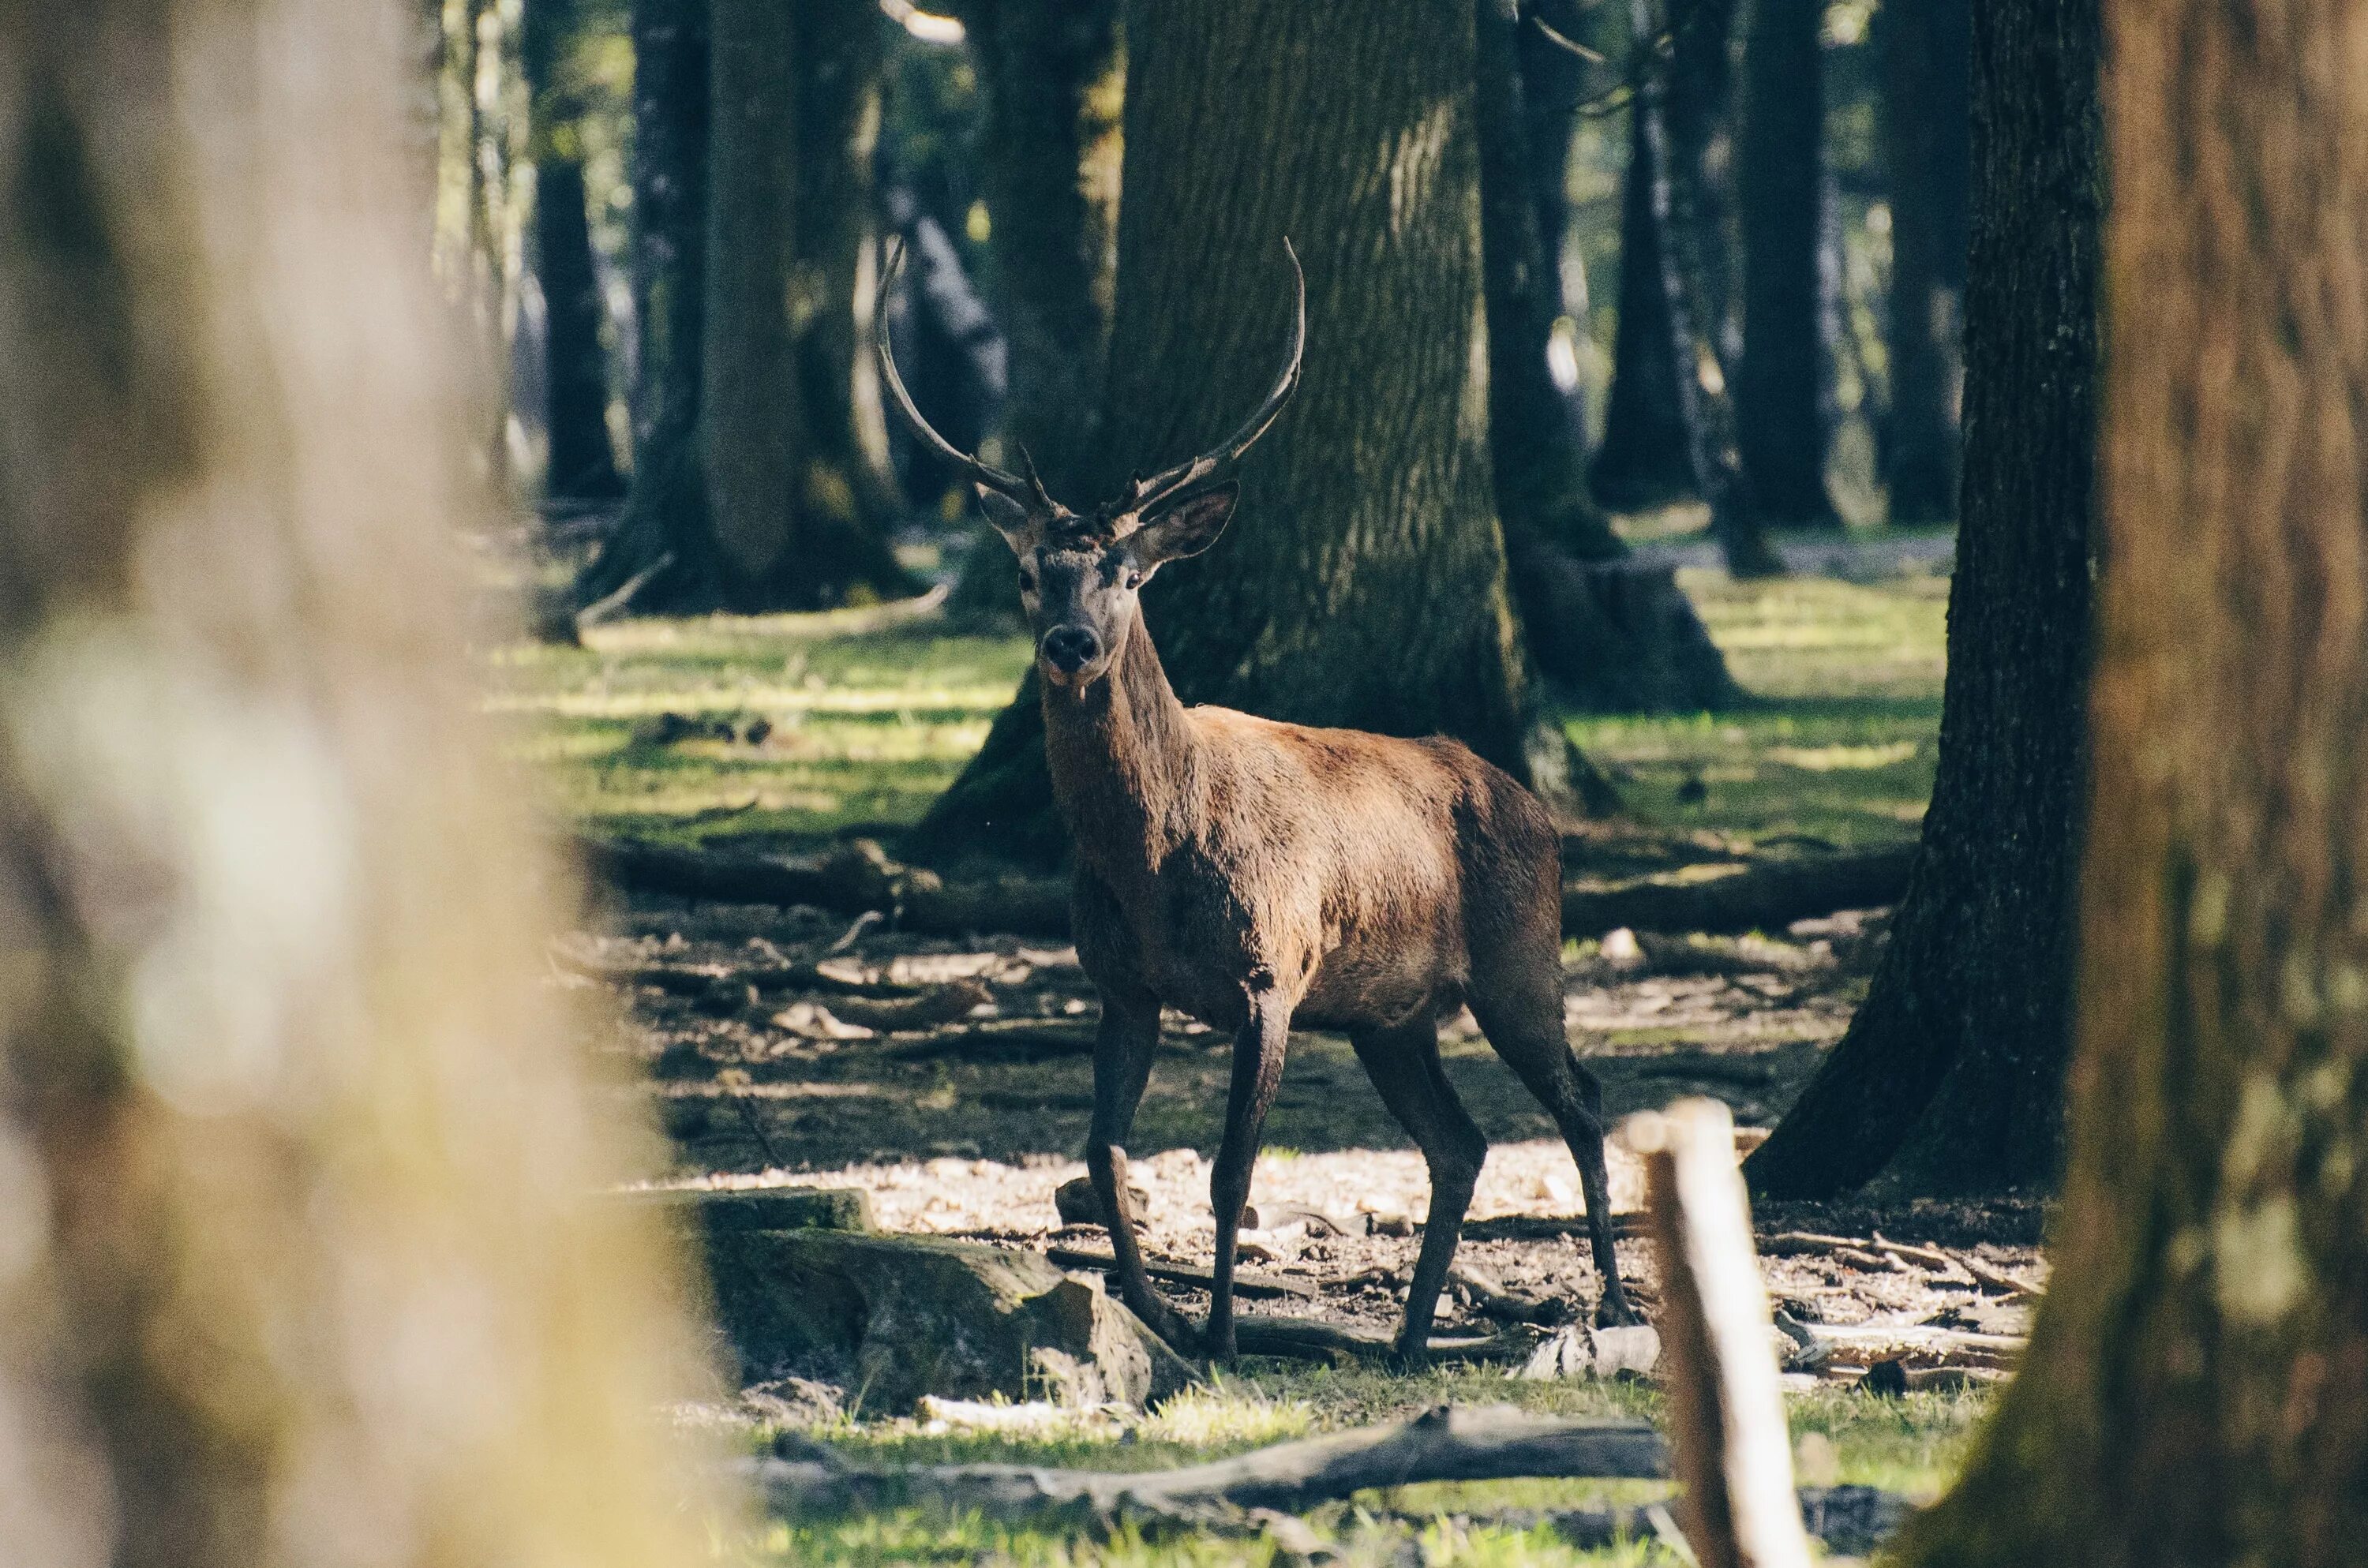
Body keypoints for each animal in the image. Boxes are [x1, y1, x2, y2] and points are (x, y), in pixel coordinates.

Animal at [881, 246, 1639, 1364]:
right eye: (1027, 572)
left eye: (1128, 574)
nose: (1070, 643)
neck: (1152, 861)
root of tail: (1536, 808)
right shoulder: (1122, 983)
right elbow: (1102, 1153)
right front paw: (1153, 1312)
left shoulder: (1270, 972)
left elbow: (1230, 1173)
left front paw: (1224, 1336)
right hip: (1388, 1016)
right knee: (1461, 1143)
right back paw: (1411, 1338)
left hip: (1520, 957)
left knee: (1583, 1101)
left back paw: (1616, 1306)